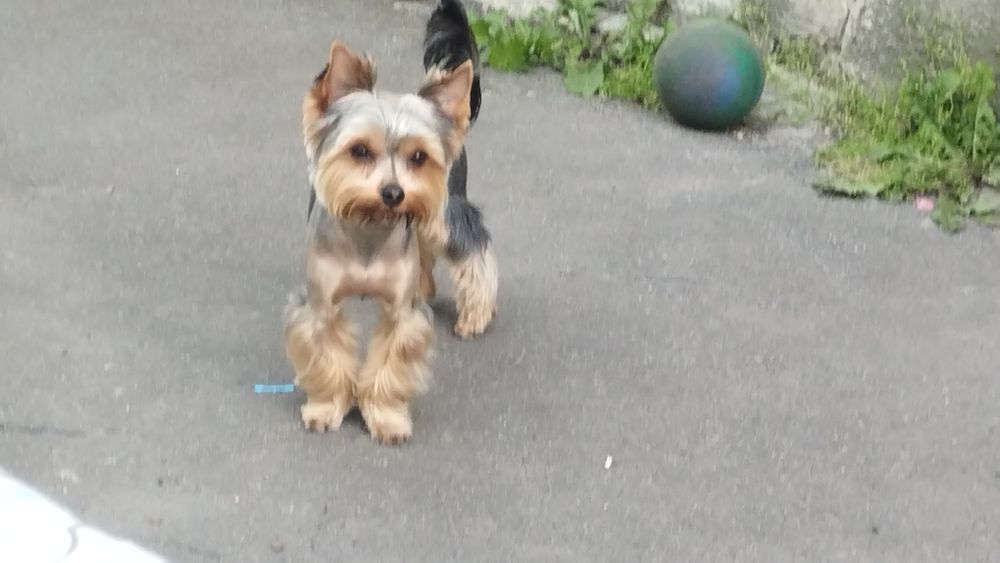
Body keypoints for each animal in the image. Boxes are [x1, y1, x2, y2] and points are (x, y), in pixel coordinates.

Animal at [283, 0, 497, 445]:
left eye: (418, 157)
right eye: (359, 151)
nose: (394, 193)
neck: (369, 225)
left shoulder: (402, 314)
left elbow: (391, 365)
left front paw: (385, 418)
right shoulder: (320, 305)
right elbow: (327, 356)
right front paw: (326, 408)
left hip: (442, 210)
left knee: (473, 245)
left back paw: (475, 313)